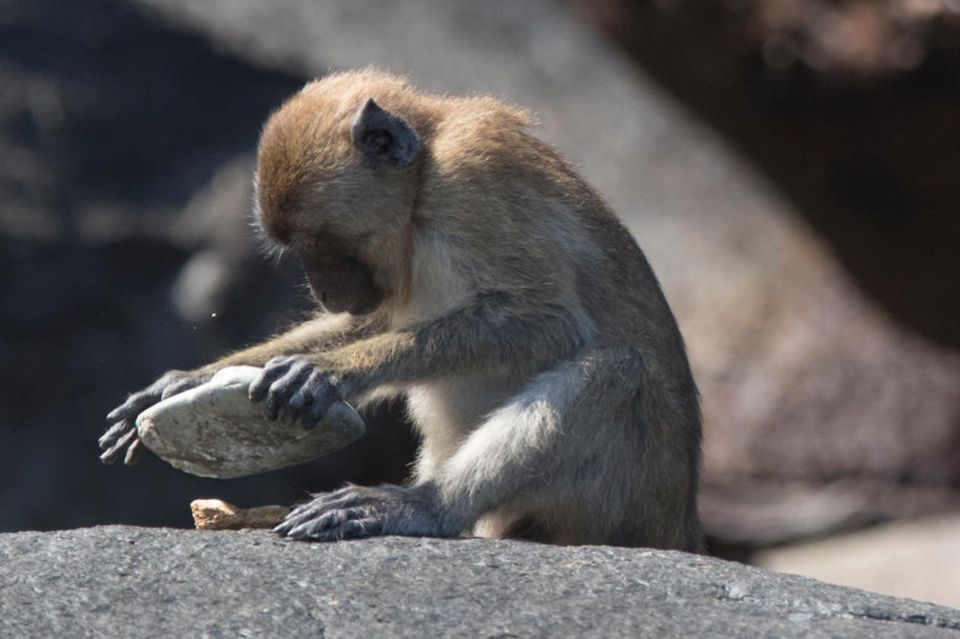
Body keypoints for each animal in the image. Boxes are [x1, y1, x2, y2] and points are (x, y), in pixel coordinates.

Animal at [99, 67, 704, 552]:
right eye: (303, 254)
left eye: (324, 247)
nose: (325, 291)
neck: (422, 186)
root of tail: (680, 523)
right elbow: (374, 321)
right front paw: (186, 381)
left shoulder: (472, 183)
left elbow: (550, 322)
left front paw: (329, 372)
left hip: (633, 493)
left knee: (617, 371)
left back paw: (426, 506)